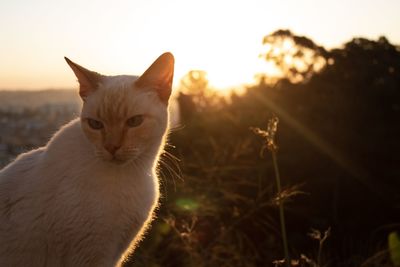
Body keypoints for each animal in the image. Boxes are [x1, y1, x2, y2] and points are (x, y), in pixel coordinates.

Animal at [0, 52, 175, 267]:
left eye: (134, 122)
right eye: (95, 124)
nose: (111, 147)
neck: (134, 173)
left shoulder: (116, 253)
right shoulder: (90, 256)